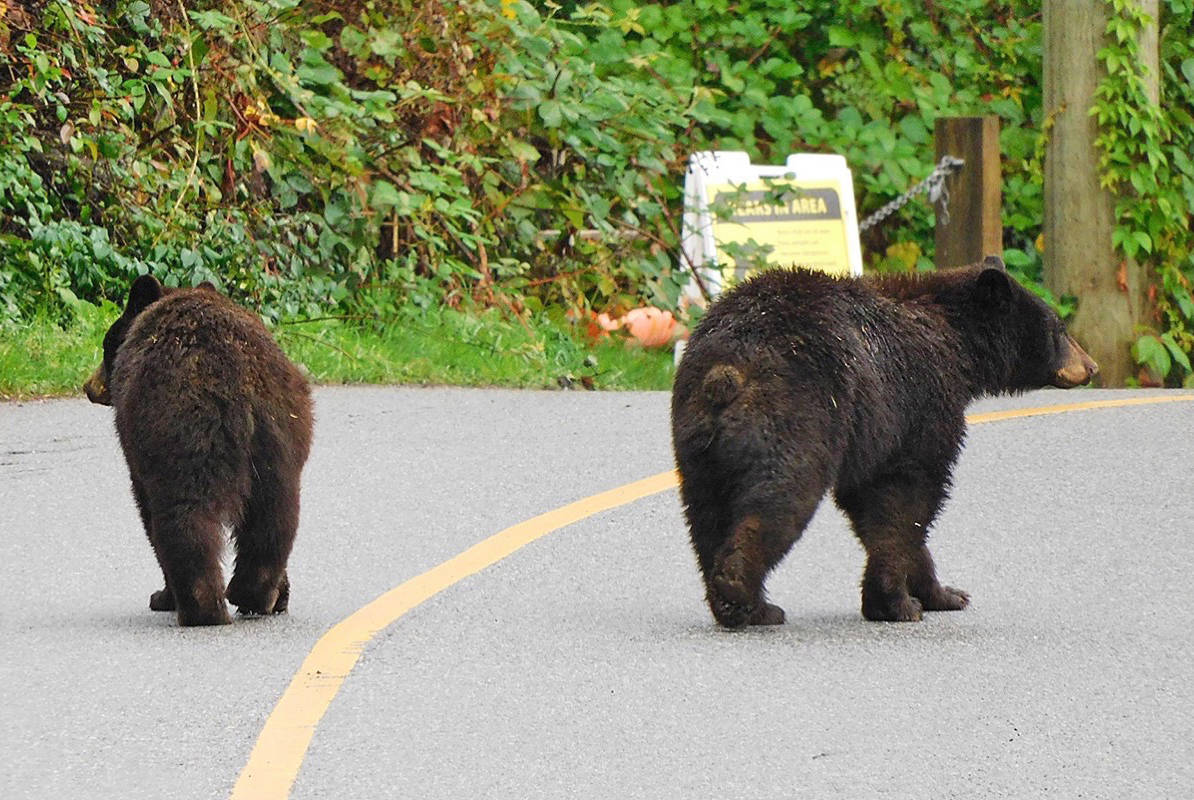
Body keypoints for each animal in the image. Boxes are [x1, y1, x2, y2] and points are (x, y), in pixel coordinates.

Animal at [84, 274, 313, 626]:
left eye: (107, 343)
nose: (88, 387)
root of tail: (239, 387)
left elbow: (144, 505)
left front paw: (162, 596)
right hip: (280, 440)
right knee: (276, 517)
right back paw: (258, 595)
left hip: (181, 436)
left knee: (184, 517)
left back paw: (201, 608)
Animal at [671, 256, 1098, 629]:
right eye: (1059, 328)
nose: (1092, 366)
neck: (956, 343)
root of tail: (728, 370)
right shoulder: (920, 405)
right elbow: (904, 499)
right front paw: (896, 602)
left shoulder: (876, 433)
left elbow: (877, 503)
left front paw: (943, 593)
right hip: (798, 416)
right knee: (780, 499)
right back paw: (749, 596)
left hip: (697, 444)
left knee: (706, 516)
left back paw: (735, 603)